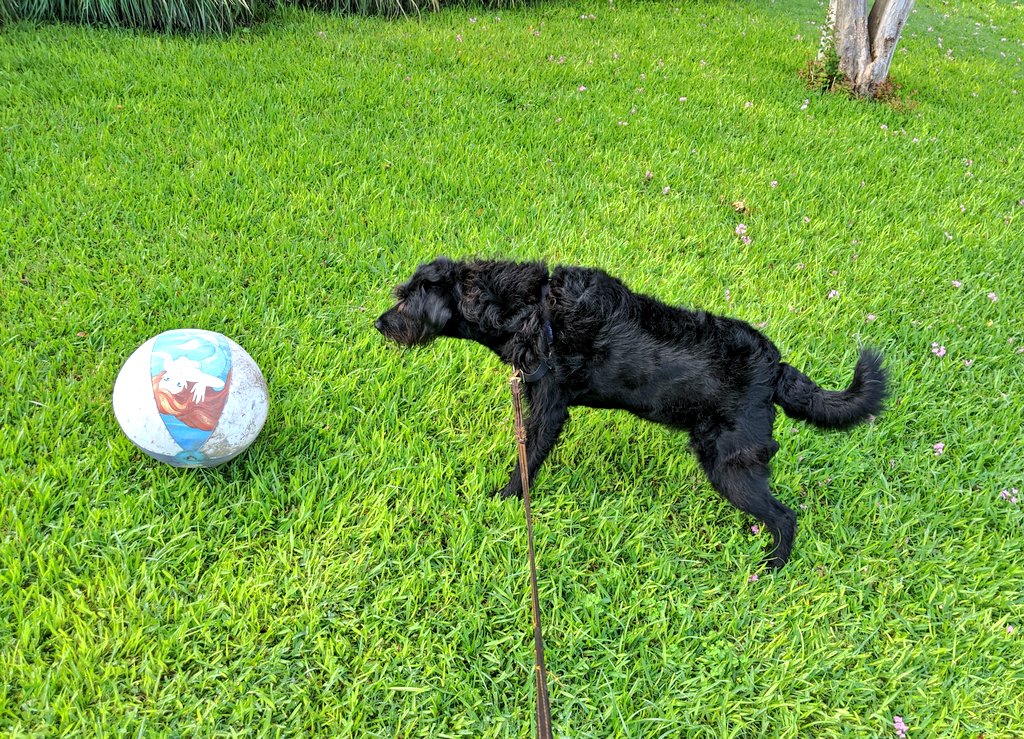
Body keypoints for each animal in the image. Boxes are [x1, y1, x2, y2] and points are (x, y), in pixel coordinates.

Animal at [378, 255, 888, 569]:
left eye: (406, 299)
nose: (378, 323)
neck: (530, 308)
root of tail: (775, 369)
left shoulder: (549, 408)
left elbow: (527, 463)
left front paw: (505, 501)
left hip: (730, 465)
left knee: (785, 518)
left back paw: (771, 566)